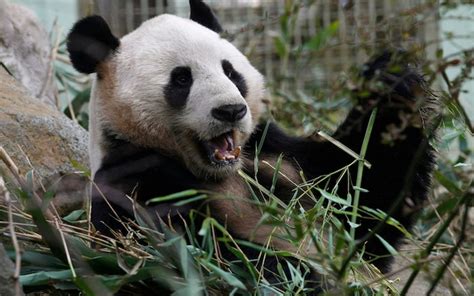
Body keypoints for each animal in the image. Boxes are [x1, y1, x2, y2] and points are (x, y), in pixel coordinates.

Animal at [67, 0, 436, 292]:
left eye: (231, 72)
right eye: (182, 79)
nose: (231, 110)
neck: (215, 170)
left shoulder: (274, 152)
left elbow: (361, 201)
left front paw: (391, 80)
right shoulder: (131, 180)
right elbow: (191, 258)